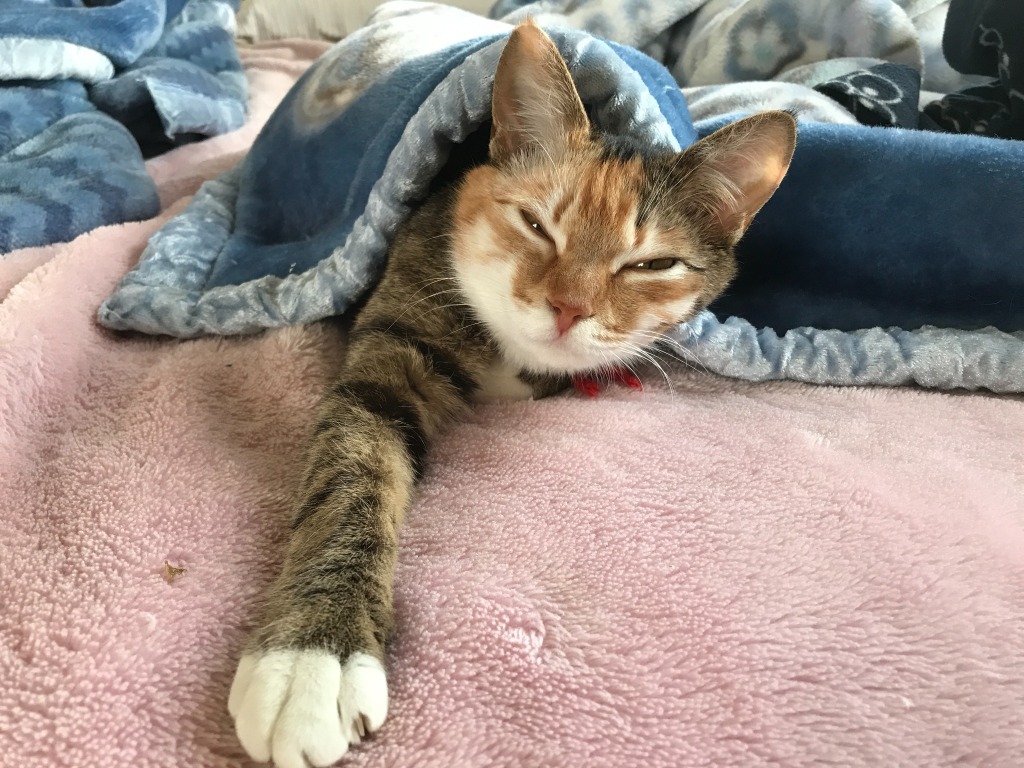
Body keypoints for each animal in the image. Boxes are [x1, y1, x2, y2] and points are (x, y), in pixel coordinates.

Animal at [228, 19, 796, 768]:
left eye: (652, 263)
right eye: (535, 223)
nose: (568, 307)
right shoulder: (397, 337)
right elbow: (352, 474)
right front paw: (311, 656)